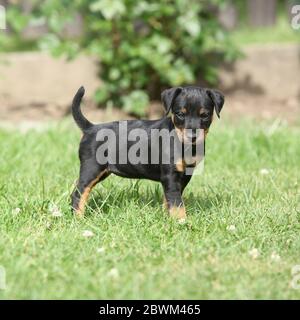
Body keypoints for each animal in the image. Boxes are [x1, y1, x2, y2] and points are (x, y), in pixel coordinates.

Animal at [71, 85, 224, 220]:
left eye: (205, 115)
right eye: (180, 114)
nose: (192, 136)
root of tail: (90, 128)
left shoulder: (185, 175)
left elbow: (170, 199)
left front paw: (167, 217)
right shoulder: (171, 175)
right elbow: (177, 202)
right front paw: (181, 221)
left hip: (102, 172)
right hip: (91, 168)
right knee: (78, 193)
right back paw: (78, 219)